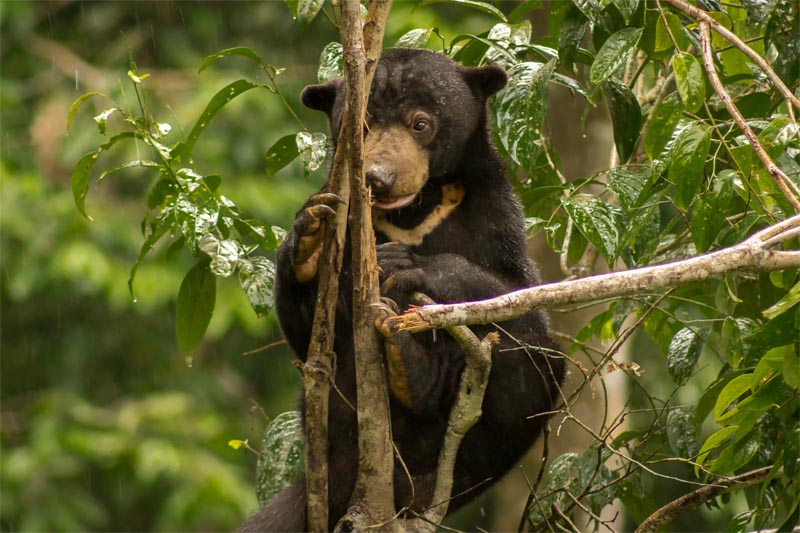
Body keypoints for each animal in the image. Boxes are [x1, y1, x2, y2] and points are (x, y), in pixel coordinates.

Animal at [241, 47, 564, 528]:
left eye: (420, 123)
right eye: (363, 126)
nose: (379, 177)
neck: (414, 211)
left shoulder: (494, 208)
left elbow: (518, 292)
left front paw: (407, 264)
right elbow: (310, 337)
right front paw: (310, 237)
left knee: (533, 357)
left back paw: (414, 379)